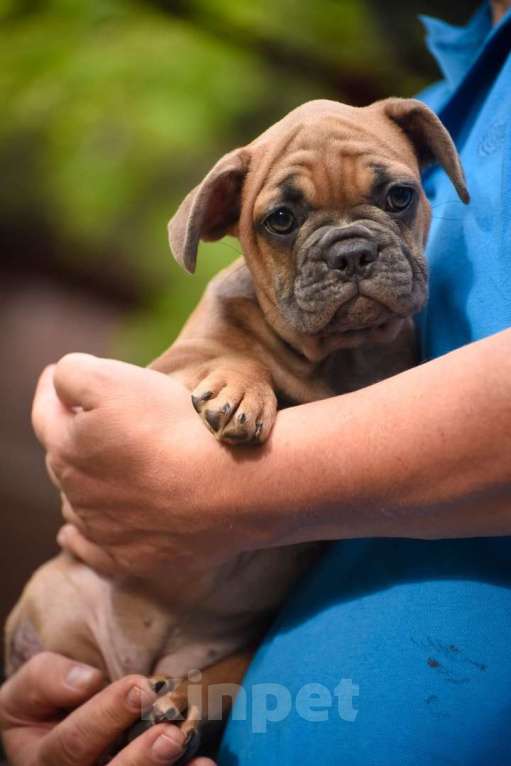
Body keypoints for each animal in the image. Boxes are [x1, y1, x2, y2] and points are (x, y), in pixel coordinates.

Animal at [5, 97, 468, 760]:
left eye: (400, 196)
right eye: (281, 220)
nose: (351, 252)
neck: (334, 356)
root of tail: (138, 663)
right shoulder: (167, 367)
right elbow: (233, 355)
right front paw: (240, 388)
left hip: (232, 650)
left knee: (219, 674)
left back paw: (186, 699)